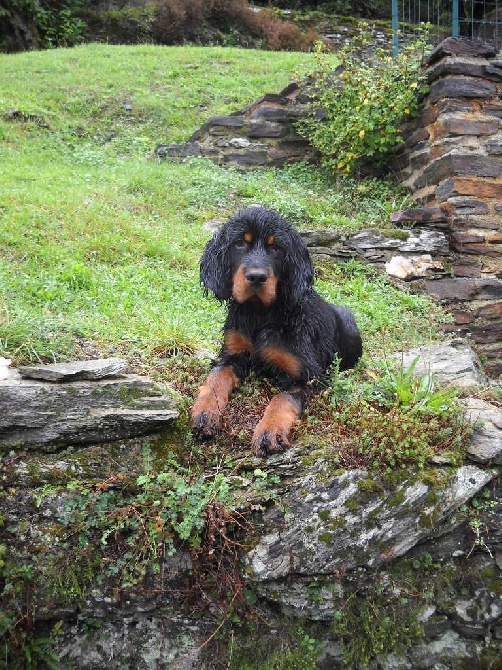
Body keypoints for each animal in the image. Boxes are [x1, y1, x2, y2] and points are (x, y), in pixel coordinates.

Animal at [191, 206, 360, 456]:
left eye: (276, 248)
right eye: (240, 243)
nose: (256, 277)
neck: (261, 313)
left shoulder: (309, 377)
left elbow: (282, 399)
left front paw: (269, 432)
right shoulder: (232, 355)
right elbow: (215, 378)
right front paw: (204, 413)